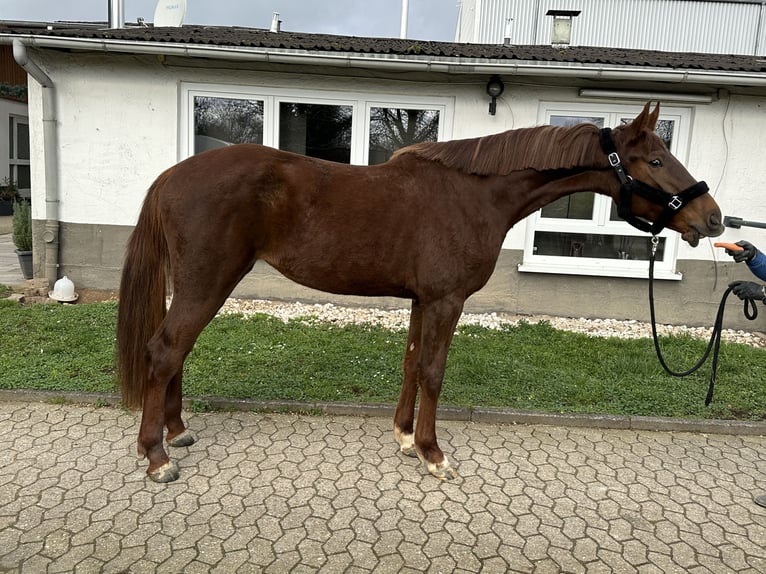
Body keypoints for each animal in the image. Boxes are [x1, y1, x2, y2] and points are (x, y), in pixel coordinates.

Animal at [117, 102, 723, 483]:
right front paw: (433, 454)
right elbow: (433, 370)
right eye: (656, 160)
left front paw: (405, 437)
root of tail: (171, 176)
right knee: (165, 350)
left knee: (175, 353)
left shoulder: (421, 300)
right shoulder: (446, 301)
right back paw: (156, 456)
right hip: (208, 282)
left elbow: (411, 363)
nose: (712, 218)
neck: (475, 196)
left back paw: (176, 432)